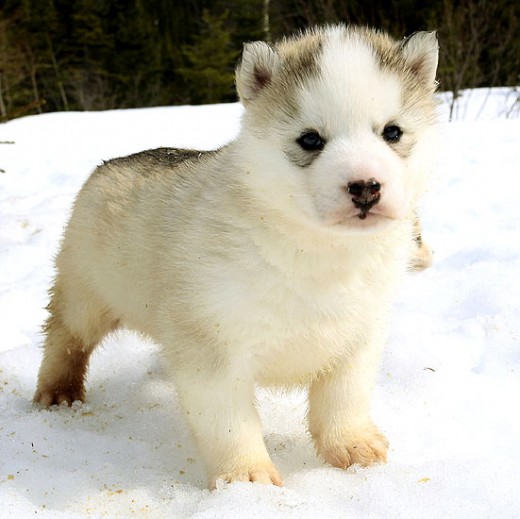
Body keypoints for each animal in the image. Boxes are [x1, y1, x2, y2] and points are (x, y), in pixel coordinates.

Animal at [33, 24, 438, 488]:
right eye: (310, 139)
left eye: (392, 132)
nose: (366, 187)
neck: (317, 250)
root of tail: (107, 164)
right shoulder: (211, 344)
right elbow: (230, 423)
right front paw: (247, 480)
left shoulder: (359, 334)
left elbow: (344, 399)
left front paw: (354, 448)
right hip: (85, 293)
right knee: (65, 338)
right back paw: (58, 393)